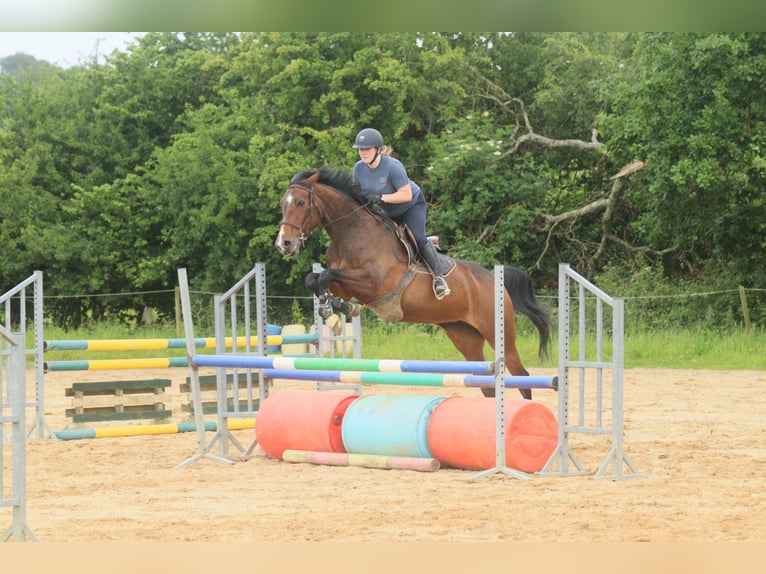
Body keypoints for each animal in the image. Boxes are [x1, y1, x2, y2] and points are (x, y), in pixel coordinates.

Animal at [276, 165, 552, 400]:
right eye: (282, 204)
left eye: (300, 202)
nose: (284, 244)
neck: (353, 234)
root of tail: (495, 279)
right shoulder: (347, 283)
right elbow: (315, 279)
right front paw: (336, 310)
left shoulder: (372, 284)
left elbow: (325, 275)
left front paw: (331, 313)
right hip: (464, 336)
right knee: (487, 384)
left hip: (499, 332)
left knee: (522, 377)